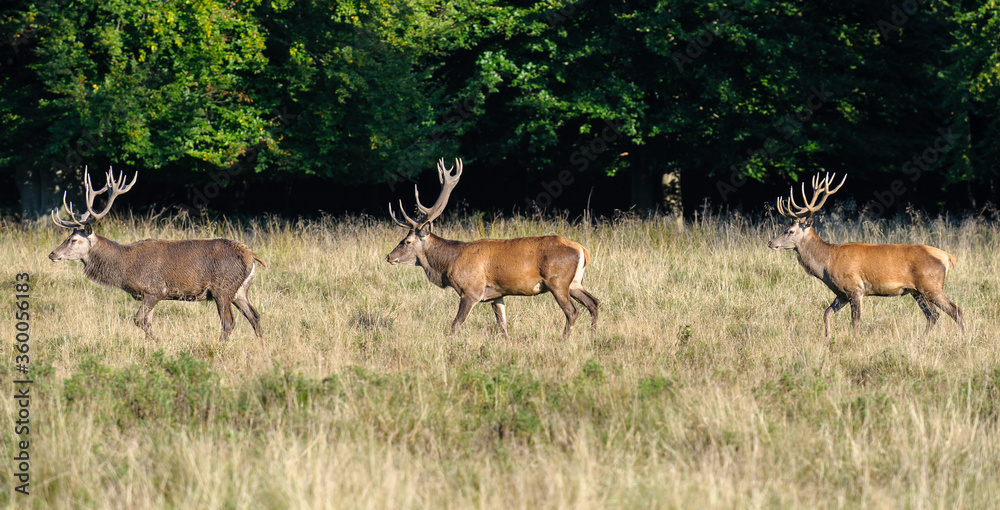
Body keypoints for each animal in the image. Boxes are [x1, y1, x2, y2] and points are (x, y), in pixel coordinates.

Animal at [48, 168, 266, 343]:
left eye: (73, 240)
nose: (52, 254)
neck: (125, 267)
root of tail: (252, 256)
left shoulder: (154, 290)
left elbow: (139, 321)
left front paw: (160, 341)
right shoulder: (150, 295)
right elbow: (147, 322)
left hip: (223, 289)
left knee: (229, 322)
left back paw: (219, 347)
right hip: (240, 290)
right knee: (255, 316)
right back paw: (261, 347)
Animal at [386, 158, 599, 340]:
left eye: (407, 241)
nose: (389, 256)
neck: (448, 265)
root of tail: (583, 250)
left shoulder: (471, 290)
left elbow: (455, 325)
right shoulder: (497, 295)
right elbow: (503, 325)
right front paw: (508, 345)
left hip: (558, 281)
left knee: (572, 311)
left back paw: (564, 341)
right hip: (575, 282)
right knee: (594, 303)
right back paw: (593, 336)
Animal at [767, 172, 965, 340]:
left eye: (790, 231)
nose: (770, 243)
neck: (826, 264)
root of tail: (947, 257)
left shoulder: (855, 287)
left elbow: (855, 322)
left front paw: (855, 341)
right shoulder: (841, 293)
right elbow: (826, 314)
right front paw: (827, 338)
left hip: (932, 286)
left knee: (956, 311)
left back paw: (963, 338)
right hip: (917, 291)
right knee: (933, 315)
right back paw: (922, 340)